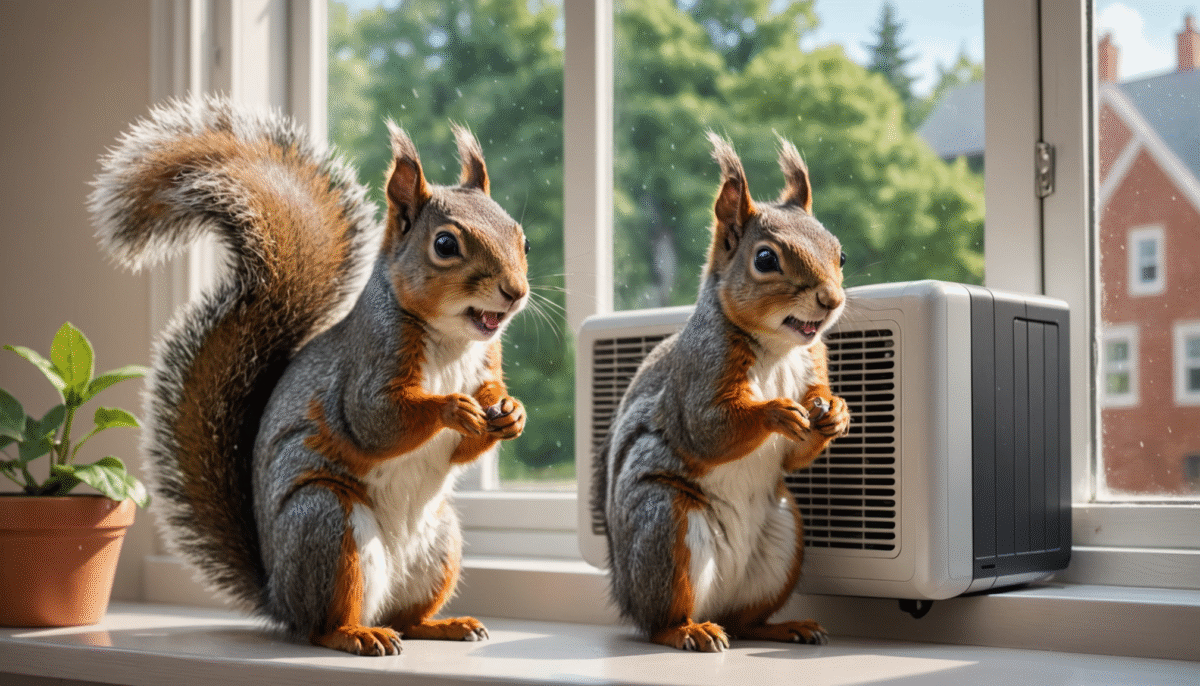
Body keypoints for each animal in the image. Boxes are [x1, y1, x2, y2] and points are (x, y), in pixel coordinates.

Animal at [90, 96, 529, 656]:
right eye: (446, 244)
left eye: (522, 238)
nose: (515, 292)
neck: (453, 340)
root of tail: (278, 597)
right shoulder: (369, 364)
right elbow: (375, 421)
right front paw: (451, 407)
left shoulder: (483, 365)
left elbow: (472, 428)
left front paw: (511, 412)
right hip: (326, 525)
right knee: (324, 623)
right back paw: (357, 634)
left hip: (440, 543)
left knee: (407, 617)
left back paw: (443, 624)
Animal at [593, 132, 851, 652]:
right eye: (766, 259)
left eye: (841, 255)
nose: (831, 300)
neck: (777, 348)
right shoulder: (700, 374)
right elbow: (708, 430)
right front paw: (777, 413)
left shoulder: (812, 365)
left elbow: (796, 453)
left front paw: (836, 412)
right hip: (663, 523)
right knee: (660, 620)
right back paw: (687, 630)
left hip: (783, 538)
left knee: (746, 619)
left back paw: (784, 626)